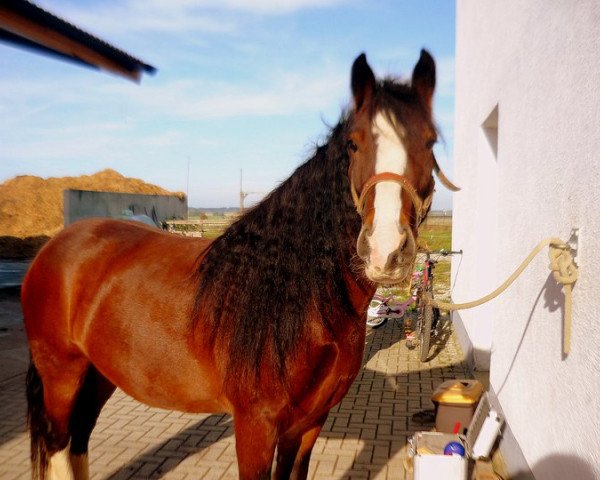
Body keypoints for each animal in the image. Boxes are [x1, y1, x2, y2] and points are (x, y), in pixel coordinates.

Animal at [21, 50, 458, 478]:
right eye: (353, 143)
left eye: (430, 142)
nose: (386, 250)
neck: (294, 298)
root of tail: (56, 245)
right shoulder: (256, 425)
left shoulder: (308, 424)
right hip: (62, 374)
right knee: (59, 445)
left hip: (97, 373)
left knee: (79, 441)